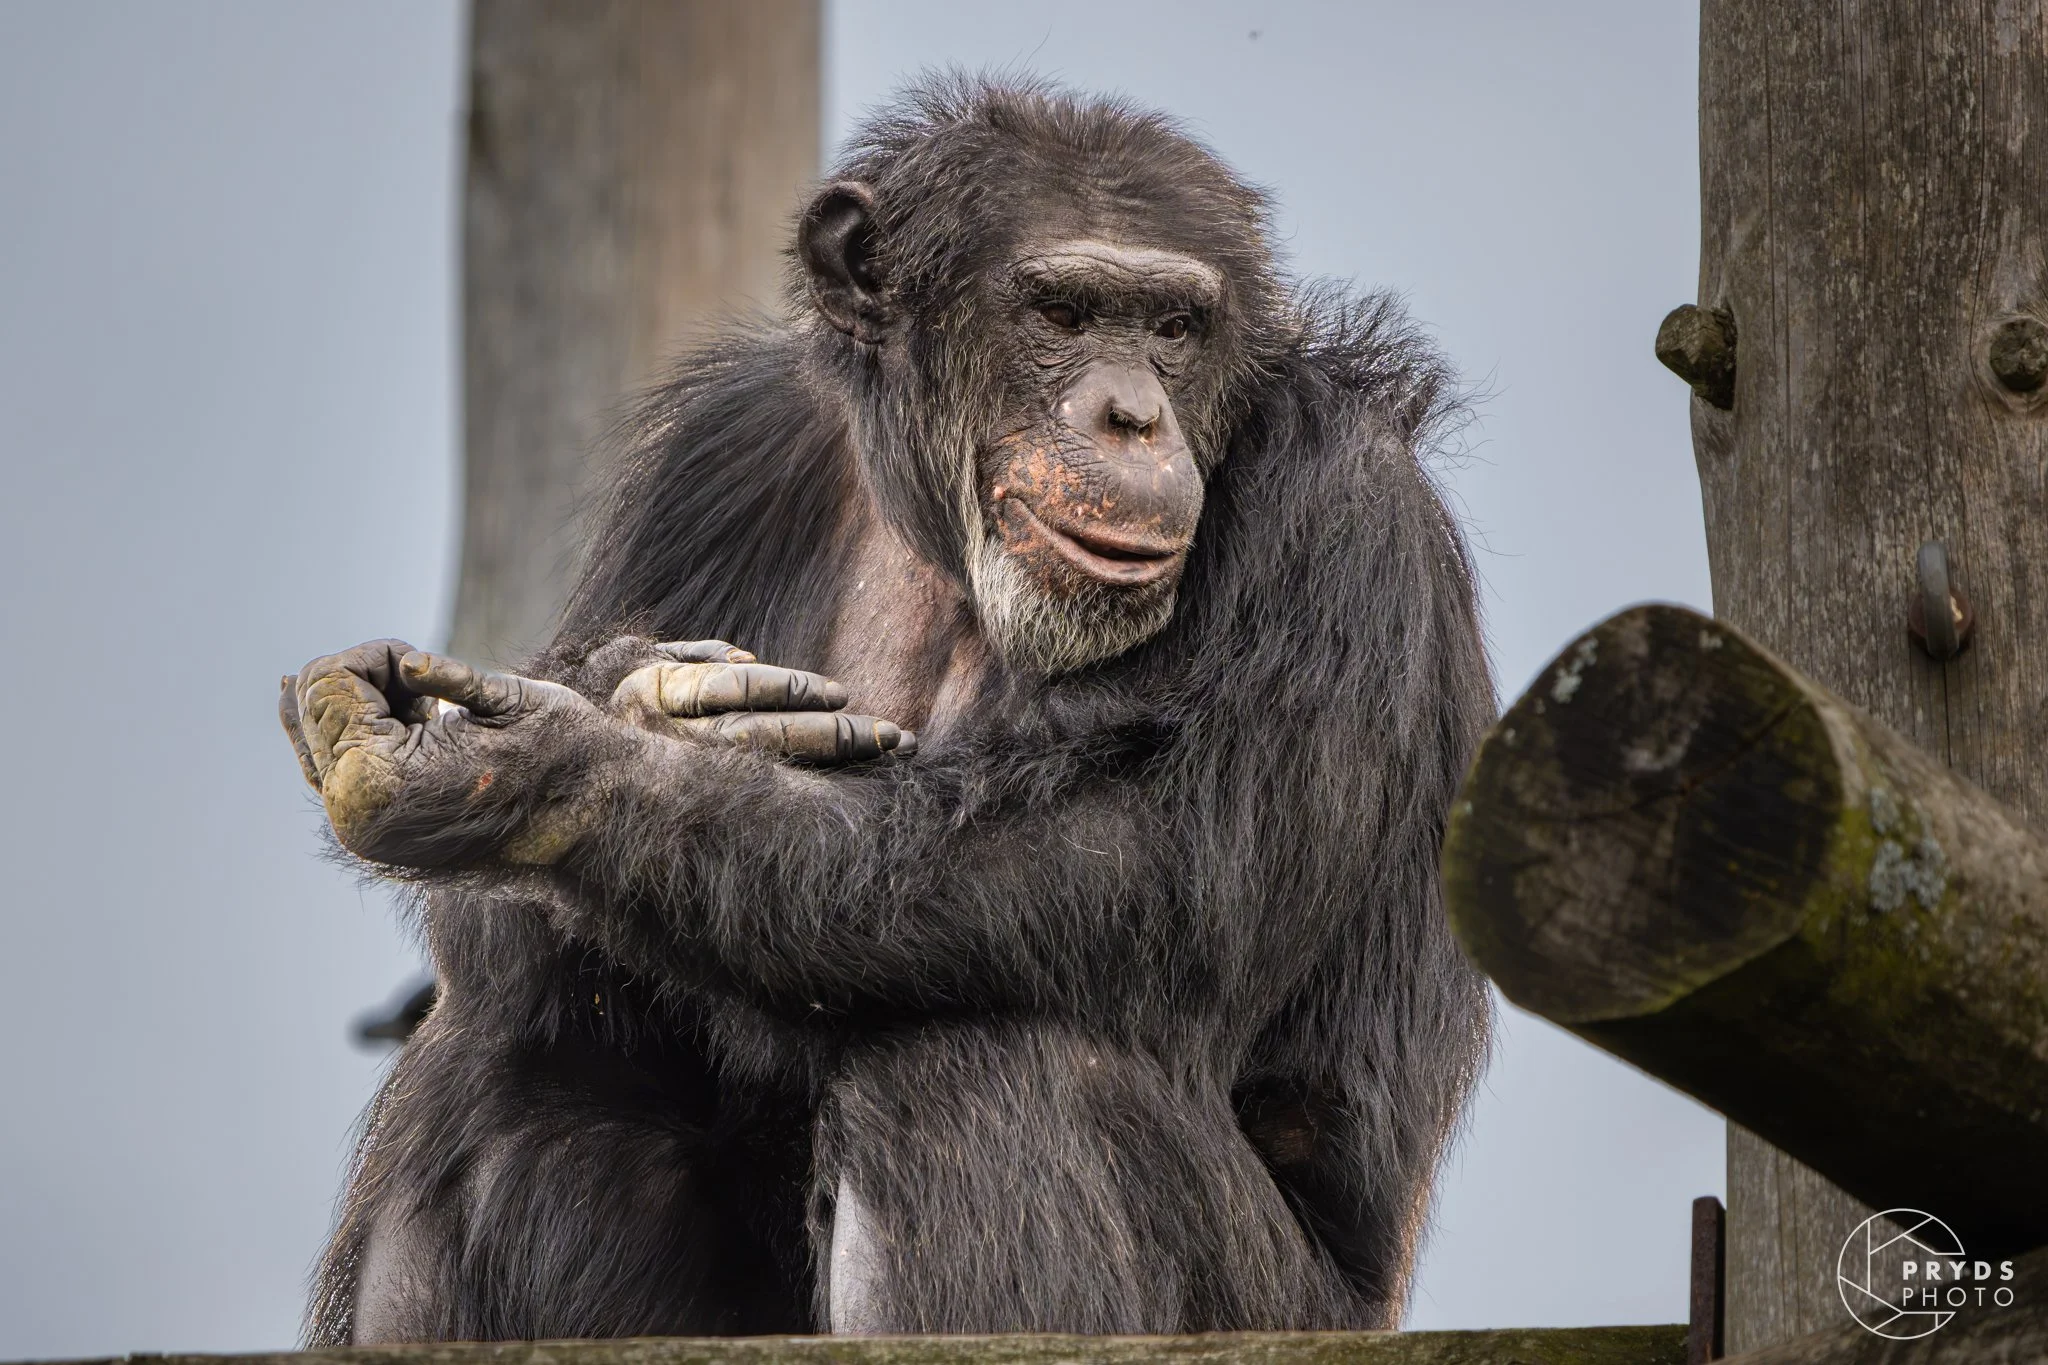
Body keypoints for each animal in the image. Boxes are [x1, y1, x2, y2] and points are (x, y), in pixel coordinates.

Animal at [281, 75, 1494, 1343]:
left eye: (1172, 328)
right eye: (1061, 313)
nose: (1131, 417)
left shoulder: (1340, 514)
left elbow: (1156, 858)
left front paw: (570, 762)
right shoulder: (709, 456)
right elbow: (497, 944)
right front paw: (618, 690)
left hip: (1271, 1307)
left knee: (977, 1068)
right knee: (517, 1059)